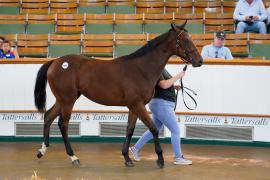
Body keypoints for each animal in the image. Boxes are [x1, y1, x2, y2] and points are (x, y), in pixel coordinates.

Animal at [33, 22, 201, 167]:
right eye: (185, 40)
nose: (199, 60)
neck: (141, 69)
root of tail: (55, 62)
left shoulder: (133, 107)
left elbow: (130, 130)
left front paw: (127, 158)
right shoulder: (138, 105)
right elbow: (153, 129)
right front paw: (160, 159)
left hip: (63, 99)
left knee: (48, 116)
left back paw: (42, 151)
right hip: (68, 100)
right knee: (63, 124)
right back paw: (73, 157)